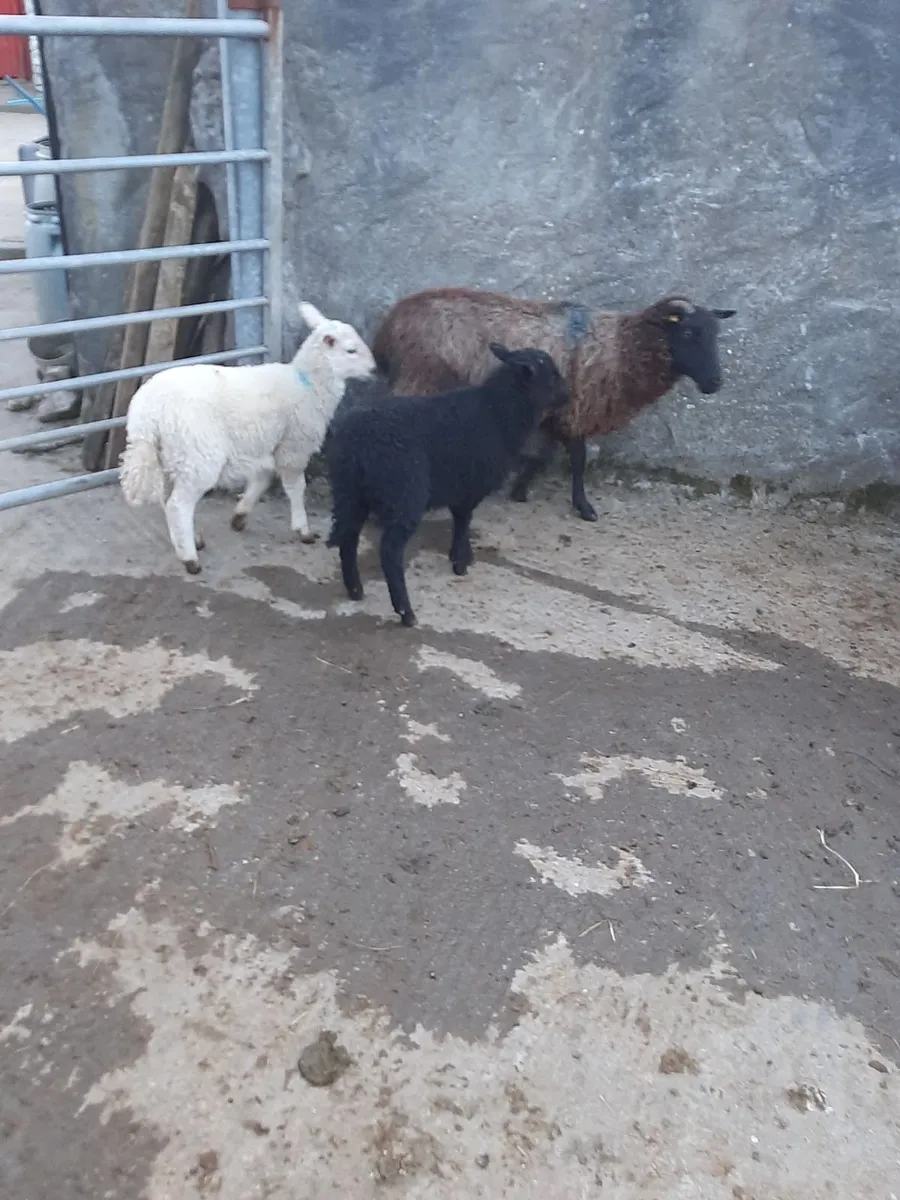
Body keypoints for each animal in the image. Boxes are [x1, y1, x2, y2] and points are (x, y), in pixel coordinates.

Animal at [118, 302, 376, 574]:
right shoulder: (294, 445)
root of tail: (147, 416)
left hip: (170, 456)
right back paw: (190, 559)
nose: (374, 369)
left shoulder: (268, 445)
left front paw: (240, 516)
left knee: (168, 502)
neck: (308, 384)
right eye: (351, 350)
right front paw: (303, 529)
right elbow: (296, 487)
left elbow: (262, 480)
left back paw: (190, 541)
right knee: (178, 506)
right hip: (197, 454)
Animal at [325, 342, 569, 628]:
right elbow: (463, 522)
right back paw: (406, 612)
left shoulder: (461, 487)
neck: (497, 412)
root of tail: (357, 446)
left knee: (348, 539)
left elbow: (461, 520)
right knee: (389, 552)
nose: (569, 396)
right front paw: (461, 562)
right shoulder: (470, 487)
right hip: (404, 495)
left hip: (349, 493)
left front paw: (462, 557)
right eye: (552, 375)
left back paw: (355, 590)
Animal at [371, 288, 736, 522]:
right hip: (419, 377)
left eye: (715, 335)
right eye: (688, 333)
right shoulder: (577, 408)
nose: (715, 383)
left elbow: (543, 456)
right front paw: (584, 508)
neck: (621, 347)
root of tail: (389, 324)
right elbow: (577, 460)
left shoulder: (556, 412)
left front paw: (520, 489)